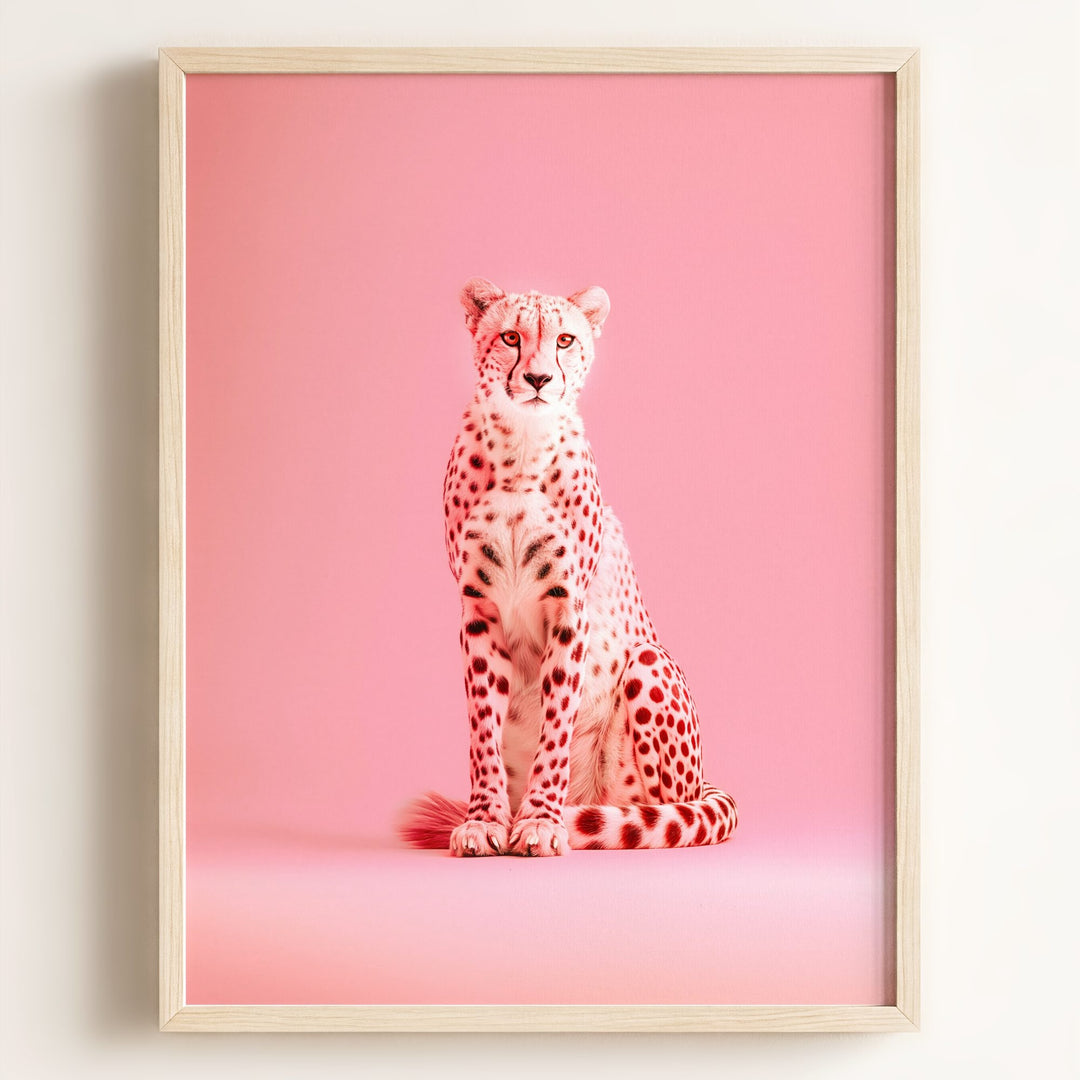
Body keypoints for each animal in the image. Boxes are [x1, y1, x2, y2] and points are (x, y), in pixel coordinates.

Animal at [399, 278, 738, 856]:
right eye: (511, 337)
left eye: (564, 340)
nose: (538, 378)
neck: (520, 447)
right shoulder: (477, 609)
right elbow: (482, 727)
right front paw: (486, 820)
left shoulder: (568, 607)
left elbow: (556, 721)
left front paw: (539, 820)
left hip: (648, 665)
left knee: (668, 811)